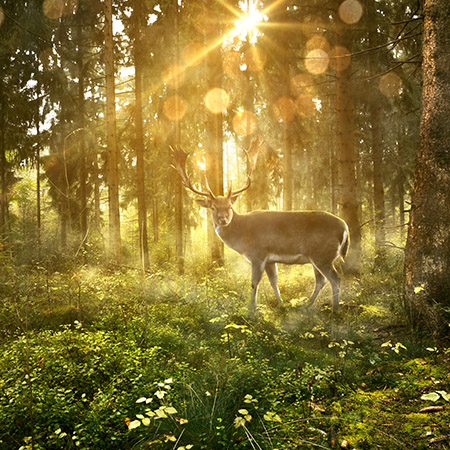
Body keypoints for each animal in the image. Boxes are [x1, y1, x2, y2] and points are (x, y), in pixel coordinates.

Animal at [171, 137, 348, 312]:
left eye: (230, 206)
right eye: (213, 207)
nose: (223, 219)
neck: (242, 235)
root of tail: (345, 227)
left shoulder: (258, 253)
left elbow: (254, 283)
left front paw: (252, 309)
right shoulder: (270, 259)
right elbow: (274, 281)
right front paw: (281, 304)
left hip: (323, 255)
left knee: (335, 279)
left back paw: (335, 310)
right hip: (317, 257)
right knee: (321, 281)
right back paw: (307, 306)